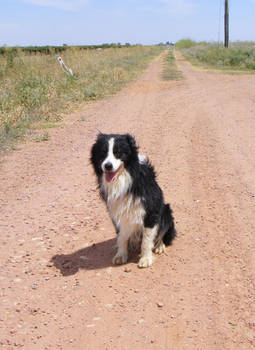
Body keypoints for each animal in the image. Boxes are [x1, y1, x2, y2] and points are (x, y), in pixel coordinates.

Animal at [90, 134, 176, 268]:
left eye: (118, 152)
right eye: (103, 152)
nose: (108, 166)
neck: (125, 177)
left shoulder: (151, 210)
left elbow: (147, 239)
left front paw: (145, 259)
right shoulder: (116, 210)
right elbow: (121, 236)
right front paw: (121, 255)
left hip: (166, 211)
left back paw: (159, 245)